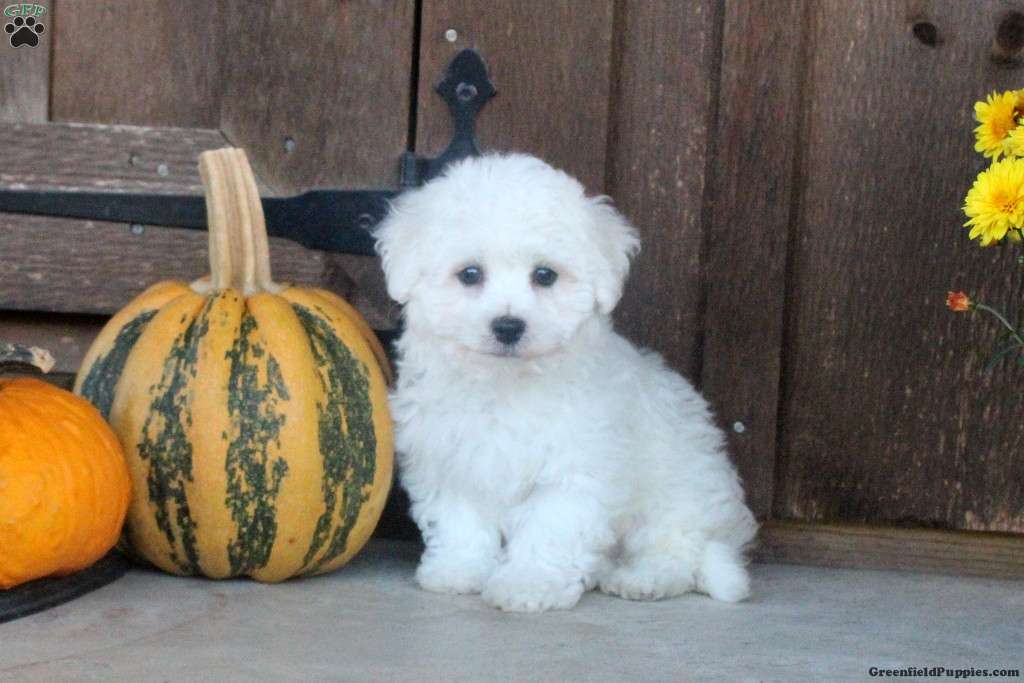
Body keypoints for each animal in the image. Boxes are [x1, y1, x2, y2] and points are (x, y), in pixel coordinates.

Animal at [372, 152, 757, 610]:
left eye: (545, 275)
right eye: (469, 274)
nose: (508, 326)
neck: (506, 383)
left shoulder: (573, 469)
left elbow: (548, 529)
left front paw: (528, 584)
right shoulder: (453, 459)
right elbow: (461, 521)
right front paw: (458, 570)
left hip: (680, 493)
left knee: (679, 550)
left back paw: (642, 578)